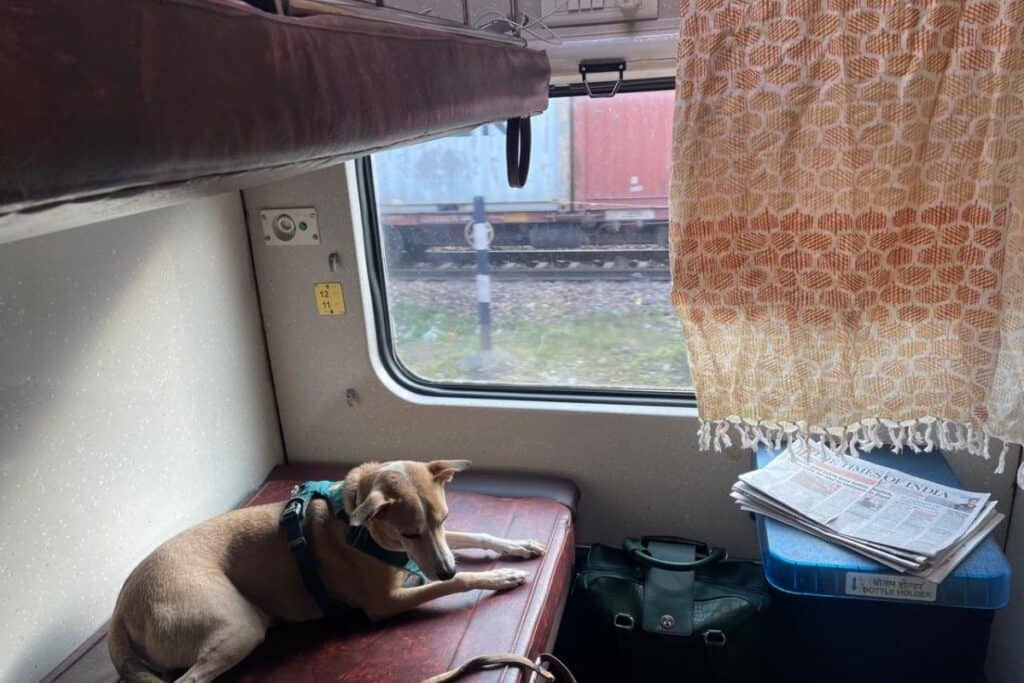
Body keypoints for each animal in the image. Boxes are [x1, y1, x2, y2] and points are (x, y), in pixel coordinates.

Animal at [108, 458, 548, 683]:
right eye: (408, 531)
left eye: (444, 517)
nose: (443, 569)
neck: (358, 522)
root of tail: (121, 605)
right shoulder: (386, 601)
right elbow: (457, 583)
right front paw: (497, 578)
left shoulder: (433, 548)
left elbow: (477, 534)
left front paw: (518, 546)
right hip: (238, 626)